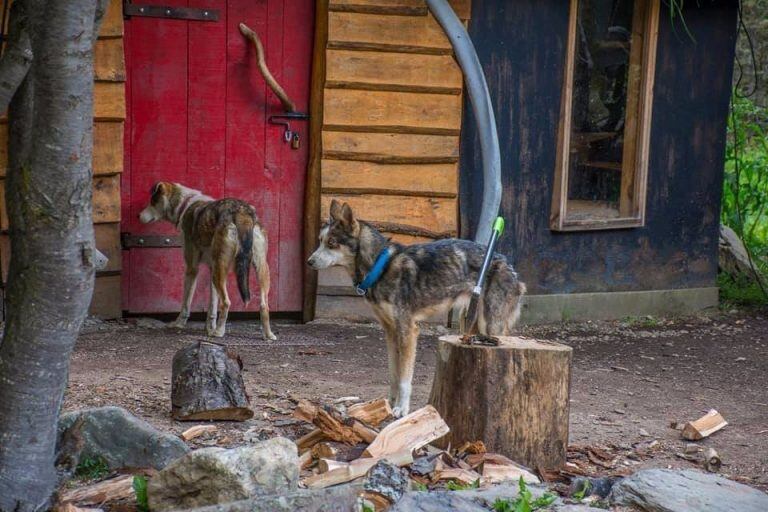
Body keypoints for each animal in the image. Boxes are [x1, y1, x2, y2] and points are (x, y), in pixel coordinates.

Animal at [139, 181, 276, 340]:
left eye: (152, 201)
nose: (138, 215)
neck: (185, 204)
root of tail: (242, 213)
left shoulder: (192, 268)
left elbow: (186, 302)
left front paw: (179, 324)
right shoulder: (212, 269)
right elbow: (212, 306)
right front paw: (209, 328)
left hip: (221, 268)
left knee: (226, 302)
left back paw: (219, 332)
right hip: (259, 268)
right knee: (264, 305)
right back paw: (268, 335)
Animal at [308, 200, 524, 416]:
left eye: (332, 243)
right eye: (320, 241)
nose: (309, 262)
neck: (380, 266)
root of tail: (510, 266)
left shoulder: (408, 330)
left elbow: (405, 379)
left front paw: (401, 409)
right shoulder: (390, 331)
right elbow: (394, 375)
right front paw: (388, 404)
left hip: (491, 326)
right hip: (475, 326)